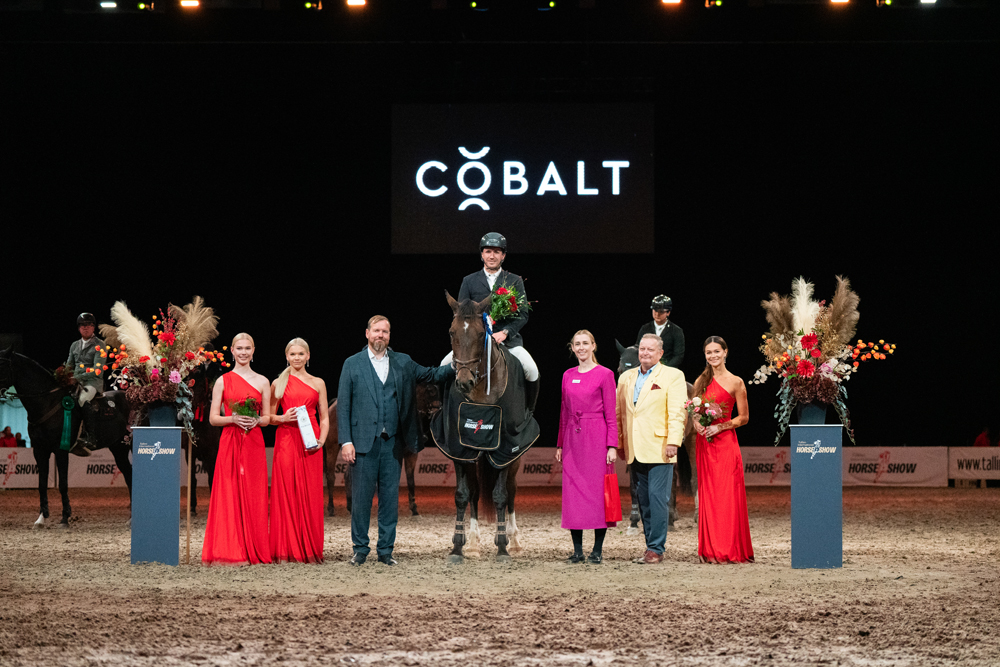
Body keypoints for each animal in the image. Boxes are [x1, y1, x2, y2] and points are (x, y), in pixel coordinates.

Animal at [0, 348, 133, 528]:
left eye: (1, 365)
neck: (47, 402)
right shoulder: (39, 451)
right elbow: (41, 484)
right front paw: (41, 519)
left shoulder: (60, 450)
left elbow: (63, 484)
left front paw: (64, 518)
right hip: (119, 447)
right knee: (128, 474)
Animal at [436, 291, 540, 563]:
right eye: (451, 332)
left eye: (480, 333)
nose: (464, 381)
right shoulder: (459, 448)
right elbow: (463, 495)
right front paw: (458, 548)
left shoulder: (505, 448)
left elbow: (501, 495)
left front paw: (502, 547)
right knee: (474, 492)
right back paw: (473, 544)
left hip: (515, 456)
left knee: (511, 491)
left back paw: (514, 541)